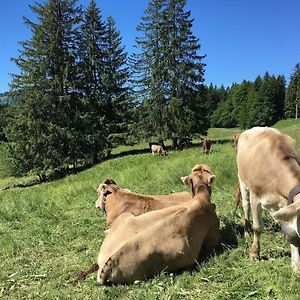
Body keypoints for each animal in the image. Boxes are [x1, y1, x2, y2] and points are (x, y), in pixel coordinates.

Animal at [237, 126, 300, 274]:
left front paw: (296, 267)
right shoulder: (255, 197)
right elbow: (257, 228)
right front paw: (254, 254)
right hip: (242, 180)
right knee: (245, 206)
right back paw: (246, 230)